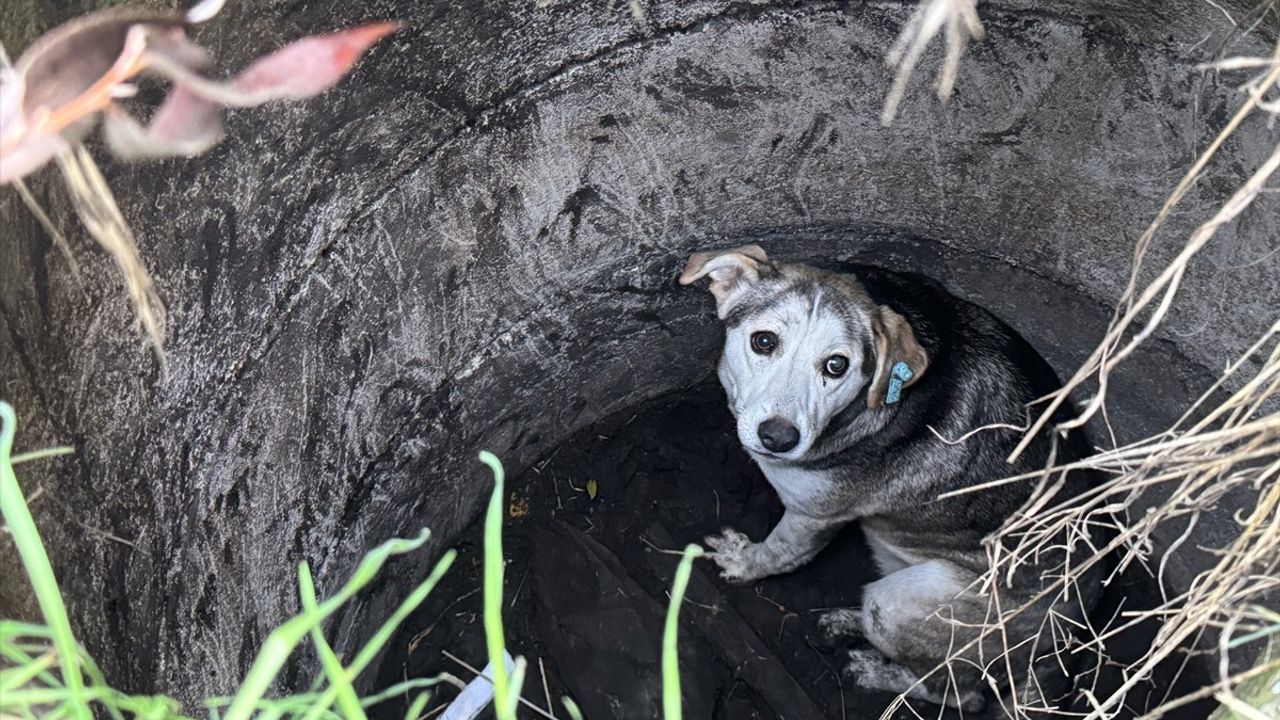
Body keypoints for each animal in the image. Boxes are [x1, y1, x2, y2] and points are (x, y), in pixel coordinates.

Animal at [675, 244, 1105, 712]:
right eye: (764, 341)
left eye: (836, 365)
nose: (778, 438)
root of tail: (1069, 636)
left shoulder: (812, 515)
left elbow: (778, 552)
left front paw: (743, 563)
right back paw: (848, 621)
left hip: (904, 602)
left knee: (959, 694)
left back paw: (874, 670)